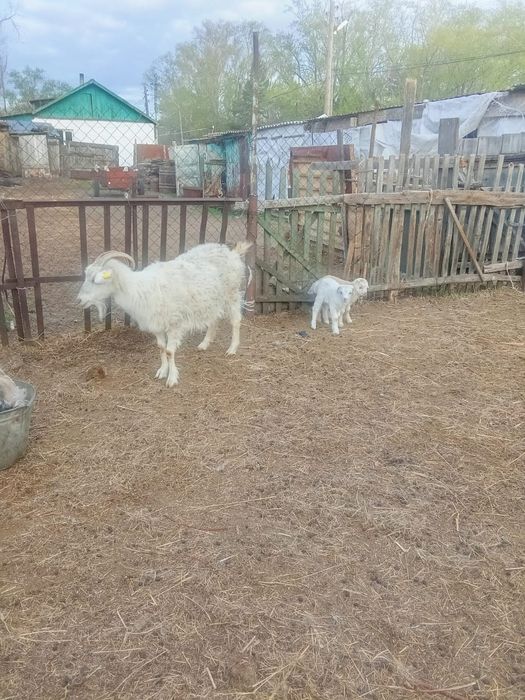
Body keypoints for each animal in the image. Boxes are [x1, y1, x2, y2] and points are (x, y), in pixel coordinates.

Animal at [77, 242, 251, 387]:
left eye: (94, 280)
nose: (79, 300)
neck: (139, 290)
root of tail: (232, 252)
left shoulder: (175, 324)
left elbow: (169, 351)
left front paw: (172, 378)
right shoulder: (157, 324)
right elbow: (161, 348)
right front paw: (162, 371)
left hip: (232, 293)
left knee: (235, 320)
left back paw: (232, 348)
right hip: (212, 299)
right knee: (214, 319)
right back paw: (204, 344)